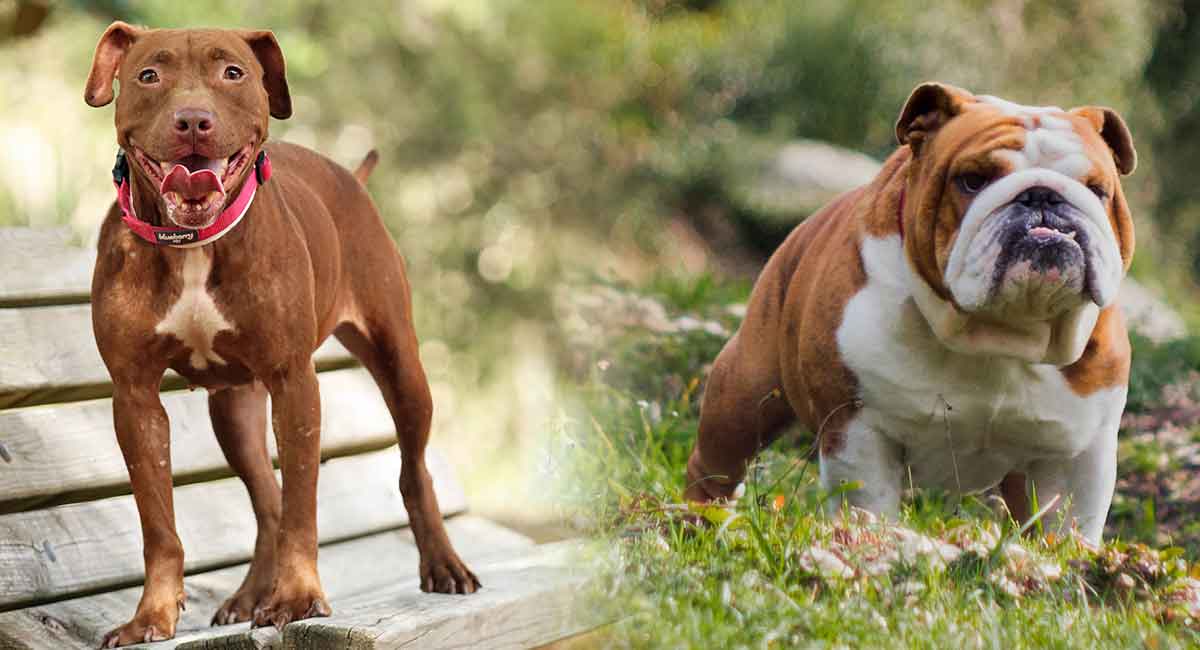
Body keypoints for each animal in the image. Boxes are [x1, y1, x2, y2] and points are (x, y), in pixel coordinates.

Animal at [87, 22, 477, 647]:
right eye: (149, 74)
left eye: (233, 72)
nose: (192, 120)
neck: (194, 243)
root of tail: (351, 179)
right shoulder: (135, 398)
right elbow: (159, 523)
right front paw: (152, 616)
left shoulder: (295, 383)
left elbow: (302, 506)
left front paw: (296, 598)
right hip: (235, 411)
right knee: (265, 500)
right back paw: (249, 596)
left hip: (402, 367)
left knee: (412, 469)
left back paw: (443, 566)